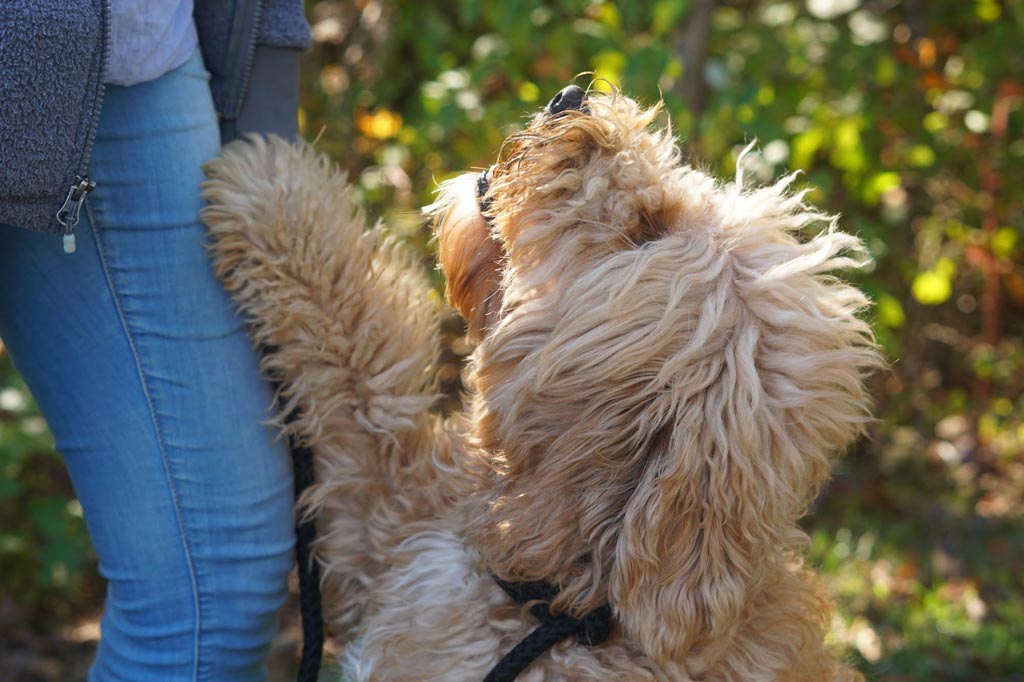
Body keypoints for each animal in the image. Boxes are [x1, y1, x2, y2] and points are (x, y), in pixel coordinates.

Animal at [199, 86, 880, 679]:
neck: (555, 597)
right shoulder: (381, 516)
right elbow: (358, 365)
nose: (571, 99)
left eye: (648, 227)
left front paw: (264, 185)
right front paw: (277, 194)